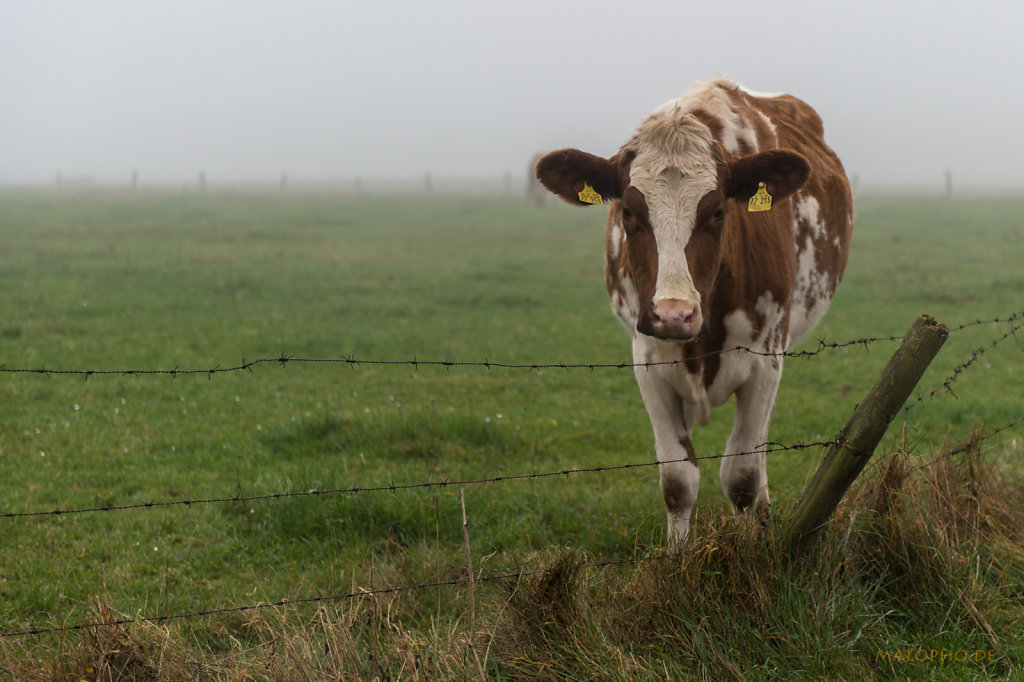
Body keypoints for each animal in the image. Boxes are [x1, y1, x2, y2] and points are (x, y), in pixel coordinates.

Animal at [536, 76, 856, 544]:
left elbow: (742, 475)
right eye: (628, 211)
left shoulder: (766, 361)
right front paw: (677, 555)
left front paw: (746, 547)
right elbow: (677, 480)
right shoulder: (648, 362)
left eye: (718, 210)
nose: (674, 314)